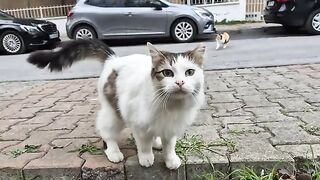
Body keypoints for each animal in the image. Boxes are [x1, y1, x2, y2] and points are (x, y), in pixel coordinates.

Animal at [28, 38, 208, 169]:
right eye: (167, 73)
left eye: (190, 72)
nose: (180, 82)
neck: (171, 105)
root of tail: (113, 59)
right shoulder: (138, 124)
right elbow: (144, 144)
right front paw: (146, 158)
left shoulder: (171, 127)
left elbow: (169, 146)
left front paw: (170, 159)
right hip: (113, 113)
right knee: (106, 133)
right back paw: (114, 152)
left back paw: (156, 141)